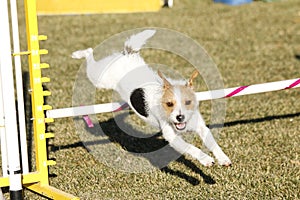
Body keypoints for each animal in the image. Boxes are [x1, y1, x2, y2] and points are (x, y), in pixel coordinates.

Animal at [72, 29, 232, 166]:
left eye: (188, 102)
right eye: (169, 104)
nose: (180, 117)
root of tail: (127, 54)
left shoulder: (200, 127)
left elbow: (212, 142)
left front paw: (223, 158)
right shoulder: (172, 137)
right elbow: (191, 147)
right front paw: (205, 159)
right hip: (99, 78)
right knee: (90, 54)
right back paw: (78, 53)